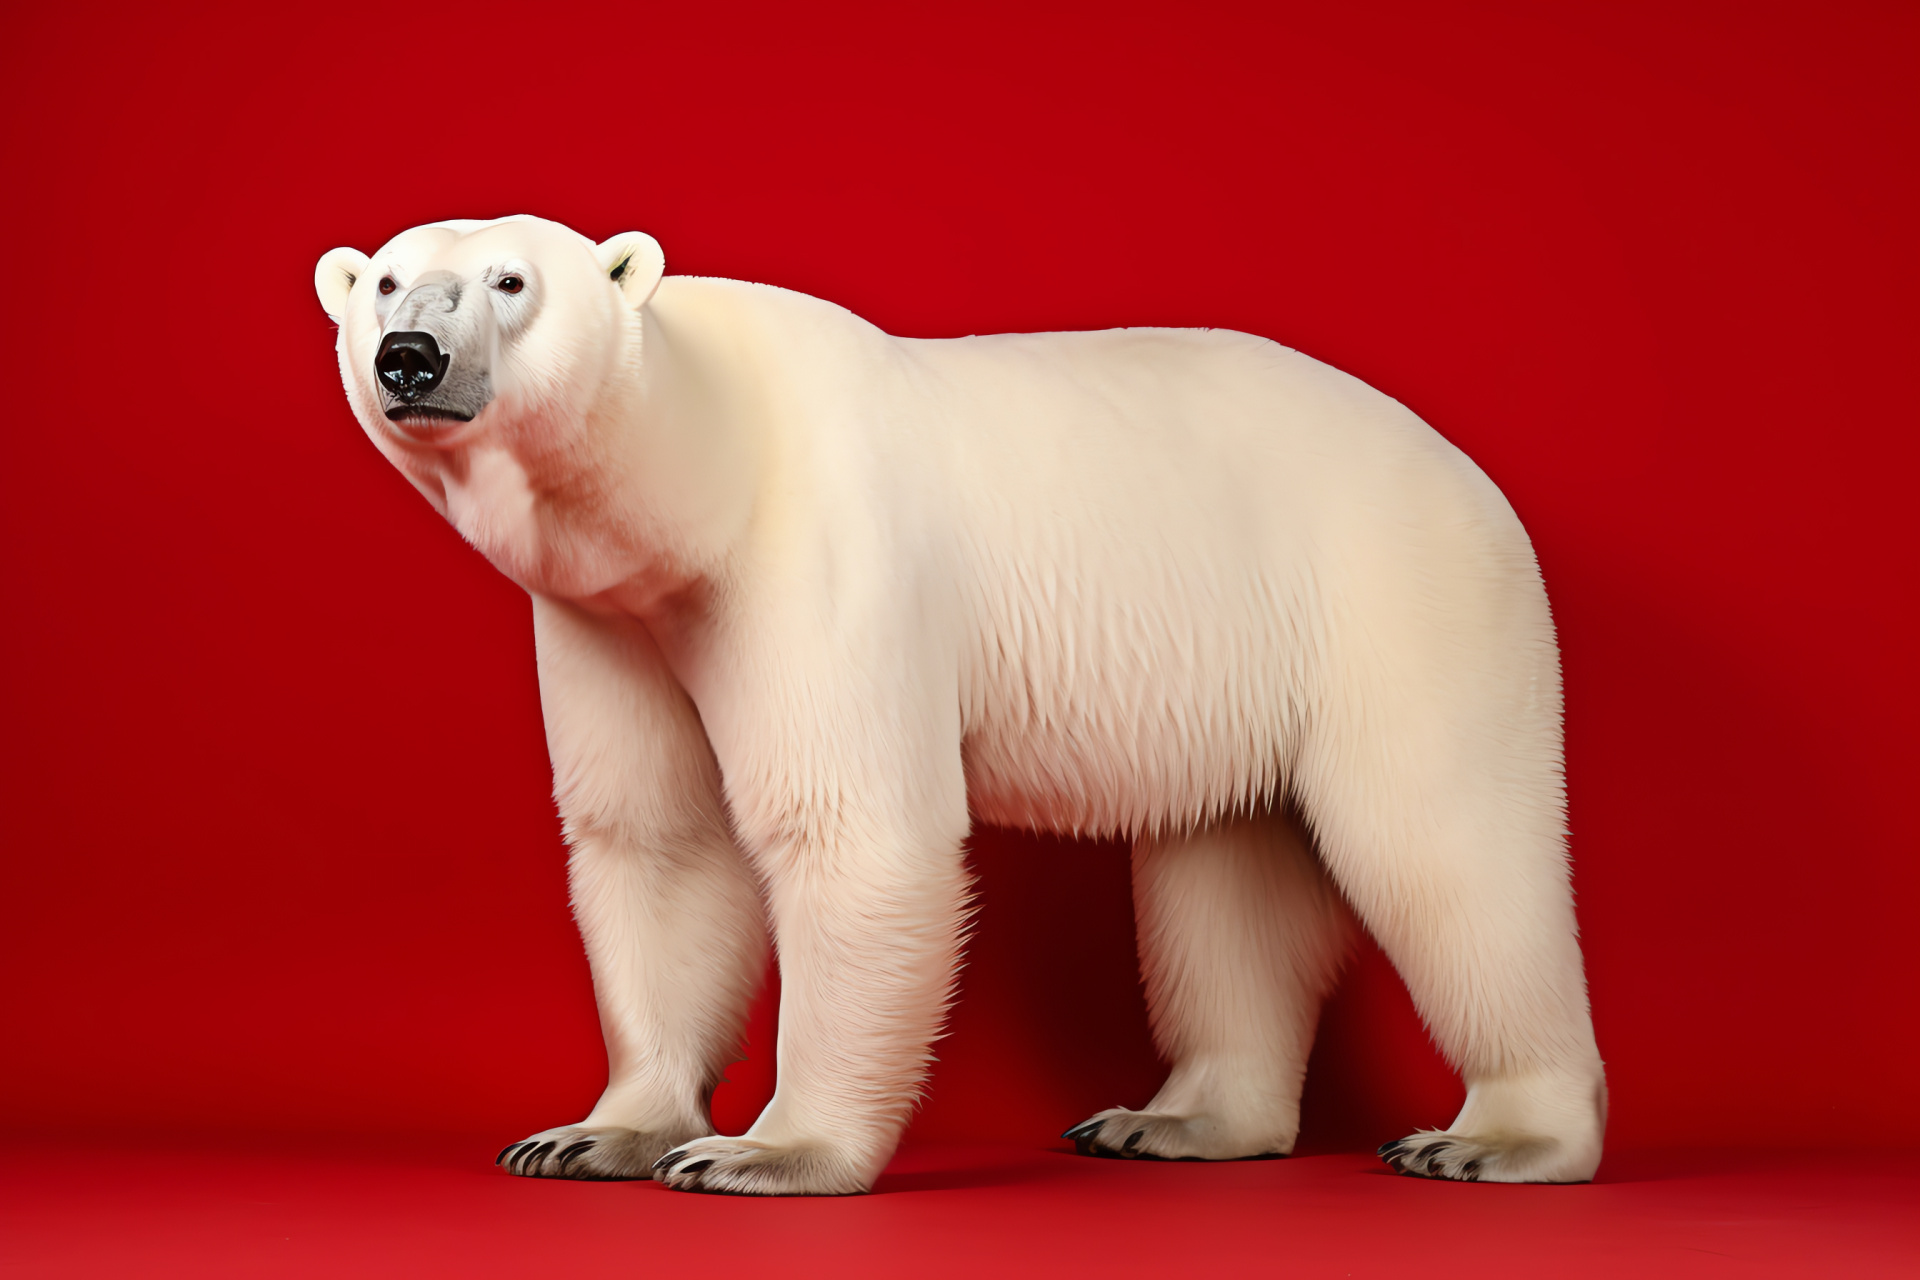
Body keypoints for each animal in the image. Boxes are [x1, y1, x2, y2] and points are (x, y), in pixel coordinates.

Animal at [314, 217, 1605, 1189]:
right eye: (381, 281)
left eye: (511, 280)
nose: (411, 355)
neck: (706, 457)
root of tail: (1471, 476)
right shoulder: (608, 620)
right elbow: (658, 840)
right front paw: (597, 1131)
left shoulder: (820, 553)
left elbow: (854, 830)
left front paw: (766, 1150)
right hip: (1243, 660)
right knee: (1223, 870)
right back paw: (1176, 1116)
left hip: (1397, 599)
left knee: (1443, 847)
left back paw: (1500, 1134)